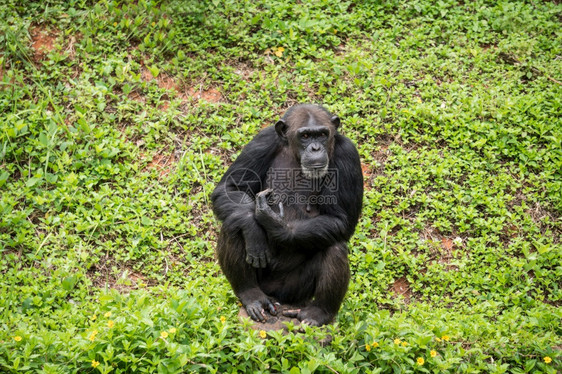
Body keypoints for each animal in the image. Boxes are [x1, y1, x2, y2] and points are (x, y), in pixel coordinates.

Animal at [210, 103, 364, 326]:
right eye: (305, 135)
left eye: (323, 134)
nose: (315, 148)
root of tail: (276, 296)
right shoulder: (262, 141)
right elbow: (229, 187)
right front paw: (253, 227)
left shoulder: (348, 154)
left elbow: (341, 219)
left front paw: (274, 223)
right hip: (264, 283)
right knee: (233, 224)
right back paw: (251, 295)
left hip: (294, 291)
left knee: (335, 247)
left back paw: (317, 313)